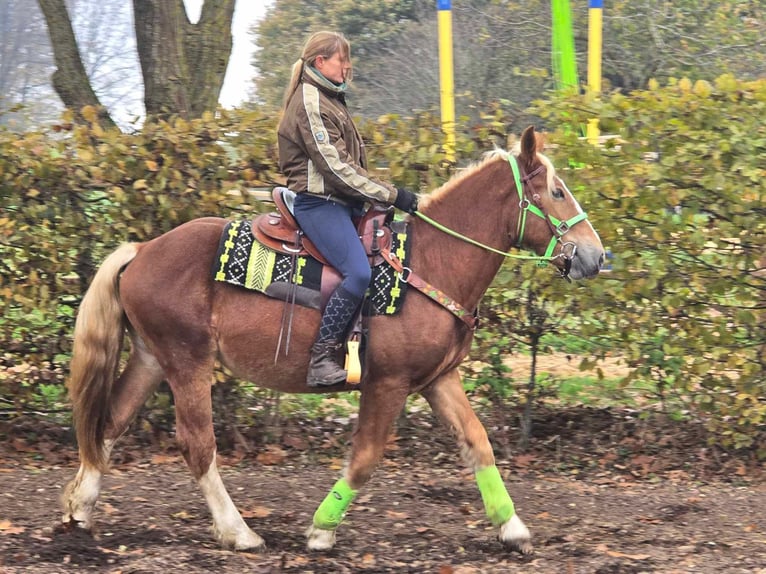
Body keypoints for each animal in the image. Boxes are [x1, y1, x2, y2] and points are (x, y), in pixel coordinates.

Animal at [61, 127, 608, 560]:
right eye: (557, 192)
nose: (596, 256)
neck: (429, 262)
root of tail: (142, 250)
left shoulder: (438, 380)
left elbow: (478, 444)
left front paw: (512, 528)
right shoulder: (387, 383)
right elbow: (365, 457)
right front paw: (321, 530)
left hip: (152, 358)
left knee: (108, 424)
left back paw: (81, 509)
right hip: (186, 362)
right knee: (197, 446)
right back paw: (238, 532)